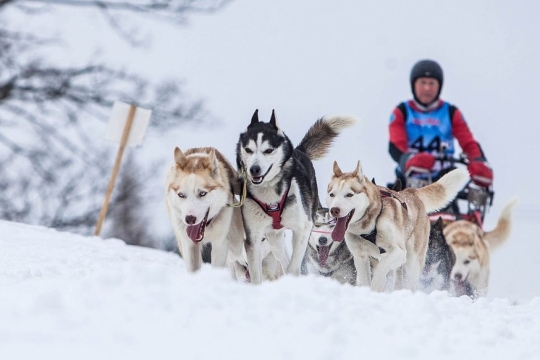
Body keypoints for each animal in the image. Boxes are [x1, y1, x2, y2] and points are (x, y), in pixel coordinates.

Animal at [238, 109, 356, 284]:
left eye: (268, 150)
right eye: (248, 149)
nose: (254, 169)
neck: (270, 197)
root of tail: (298, 151)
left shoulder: (303, 228)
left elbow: (294, 266)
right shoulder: (253, 236)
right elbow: (256, 273)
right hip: (274, 238)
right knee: (282, 256)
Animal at [324, 162, 468, 292]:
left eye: (349, 194)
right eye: (332, 194)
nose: (334, 210)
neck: (369, 227)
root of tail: (411, 192)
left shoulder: (398, 252)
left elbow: (382, 268)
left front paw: (376, 285)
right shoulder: (360, 257)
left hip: (412, 261)